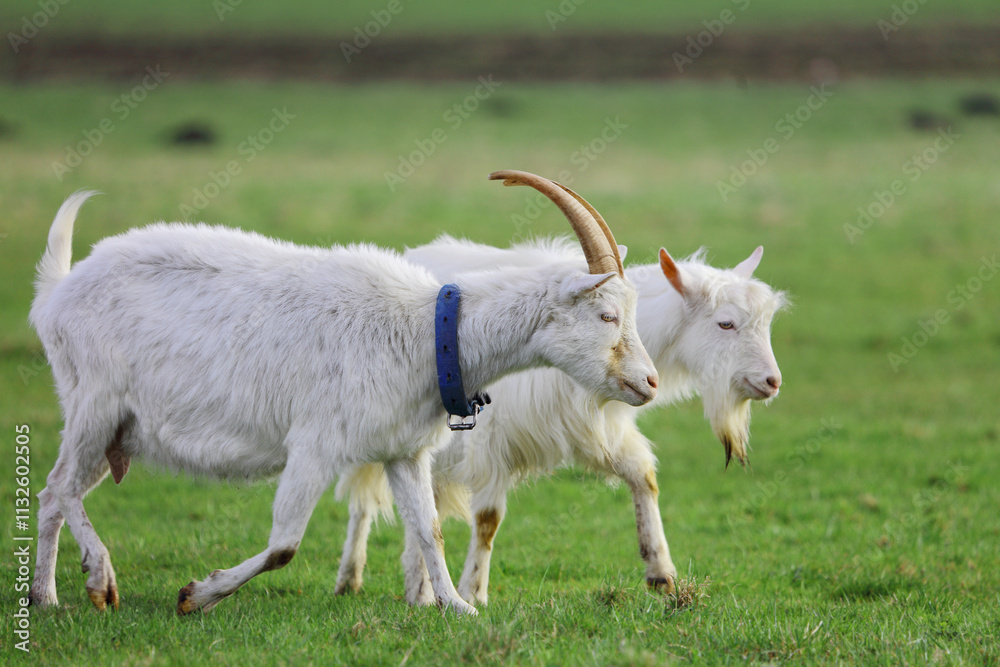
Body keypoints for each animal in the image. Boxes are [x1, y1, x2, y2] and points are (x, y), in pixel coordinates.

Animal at [28, 171, 659, 616]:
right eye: (607, 314)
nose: (649, 382)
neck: (426, 331)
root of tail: (58, 291)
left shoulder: (404, 451)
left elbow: (428, 529)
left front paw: (456, 607)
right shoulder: (314, 445)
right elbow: (284, 544)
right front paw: (196, 595)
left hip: (120, 430)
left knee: (57, 493)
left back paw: (46, 597)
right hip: (94, 403)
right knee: (60, 487)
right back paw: (98, 580)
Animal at [335, 236, 787, 605]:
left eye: (766, 323)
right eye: (725, 323)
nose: (772, 382)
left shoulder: (598, 431)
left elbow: (643, 475)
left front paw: (660, 572)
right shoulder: (490, 443)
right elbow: (487, 520)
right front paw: (474, 591)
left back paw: (414, 589)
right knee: (363, 503)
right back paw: (351, 578)